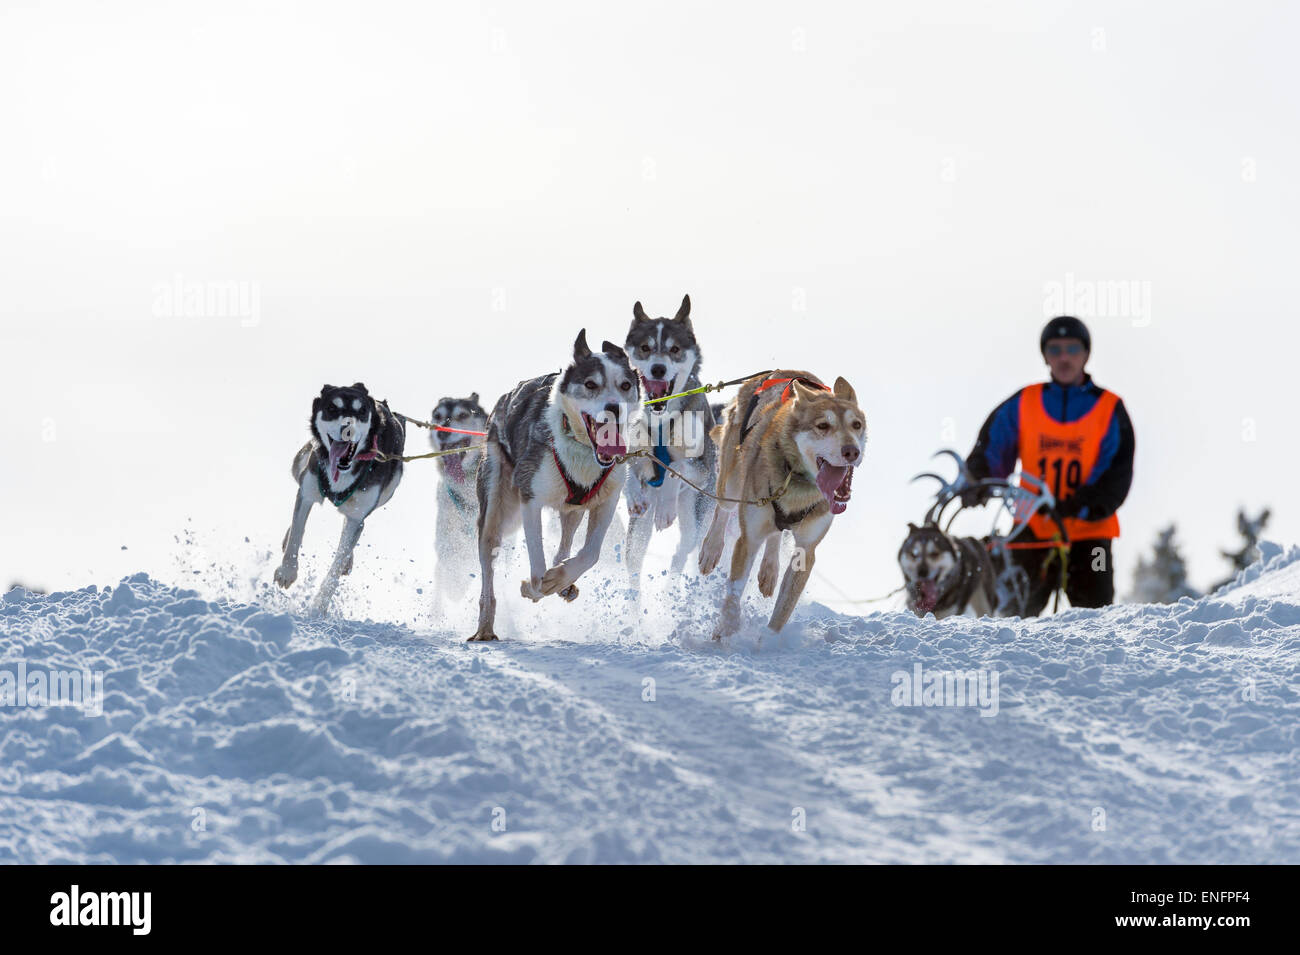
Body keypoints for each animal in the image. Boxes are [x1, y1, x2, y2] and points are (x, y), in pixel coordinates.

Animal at [269, 382, 400, 615]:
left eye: (361, 411)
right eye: (332, 408)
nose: (349, 428)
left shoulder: (358, 515)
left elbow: (338, 561)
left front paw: (319, 605)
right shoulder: (307, 491)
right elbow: (297, 531)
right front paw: (287, 570)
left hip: (386, 492)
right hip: (300, 464)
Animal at [473, 328, 644, 641]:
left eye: (625, 385)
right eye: (590, 384)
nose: (614, 408)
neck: (582, 448)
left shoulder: (606, 501)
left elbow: (590, 553)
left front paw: (561, 578)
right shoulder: (530, 498)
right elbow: (537, 569)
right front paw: (535, 587)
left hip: (572, 509)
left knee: (564, 544)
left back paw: (564, 582)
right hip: (495, 505)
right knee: (488, 561)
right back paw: (485, 627)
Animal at [621, 294, 722, 587]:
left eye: (675, 349)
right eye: (645, 348)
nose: (658, 368)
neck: (662, 420)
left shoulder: (702, 467)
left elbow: (676, 467)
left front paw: (666, 507)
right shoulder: (636, 450)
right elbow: (630, 468)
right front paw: (633, 493)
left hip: (695, 514)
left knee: (681, 552)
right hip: (640, 531)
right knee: (634, 565)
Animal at [696, 369, 868, 639]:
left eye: (856, 425)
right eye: (823, 425)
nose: (852, 451)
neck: (797, 483)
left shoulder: (807, 550)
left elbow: (783, 609)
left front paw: (767, 641)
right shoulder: (748, 540)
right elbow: (733, 596)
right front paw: (722, 636)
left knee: (776, 533)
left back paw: (769, 569)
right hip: (731, 481)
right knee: (723, 510)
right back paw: (711, 549)